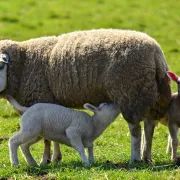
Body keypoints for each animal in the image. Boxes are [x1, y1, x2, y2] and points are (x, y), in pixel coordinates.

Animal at [0, 29, 172, 165]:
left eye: (1, 65)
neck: (23, 63)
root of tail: (156, 54)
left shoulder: (42, 98)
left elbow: (47, 139)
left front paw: (46, 160)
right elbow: (52, 136)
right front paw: (55, 158)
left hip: (129, 93)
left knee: (135, 129)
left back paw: (134, 158)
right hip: (150, 93)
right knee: (149, 126)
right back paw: (146, 156)